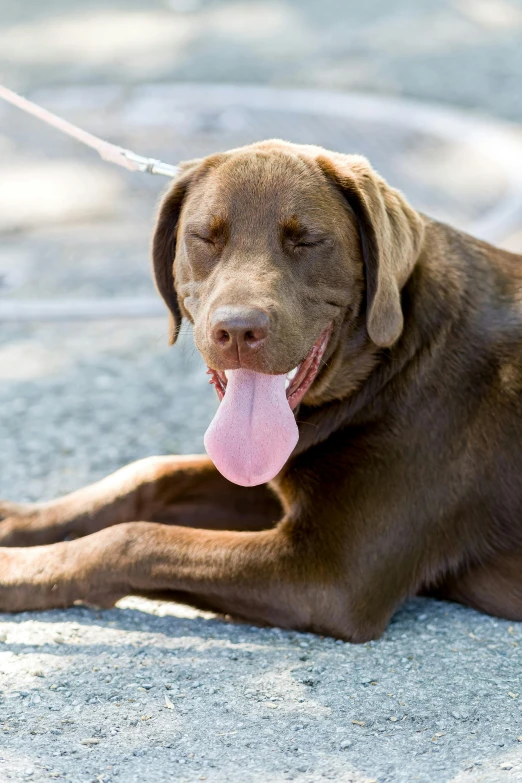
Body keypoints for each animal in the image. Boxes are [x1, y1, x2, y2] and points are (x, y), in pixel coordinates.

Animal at [1, 139, 520, 644]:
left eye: (306, 240)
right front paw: (18, 520)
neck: (388, 368)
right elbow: (147, 473)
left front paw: (15, 570)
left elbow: (134, 539)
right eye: (205, 238)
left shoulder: (328, 575)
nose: (237, 330)